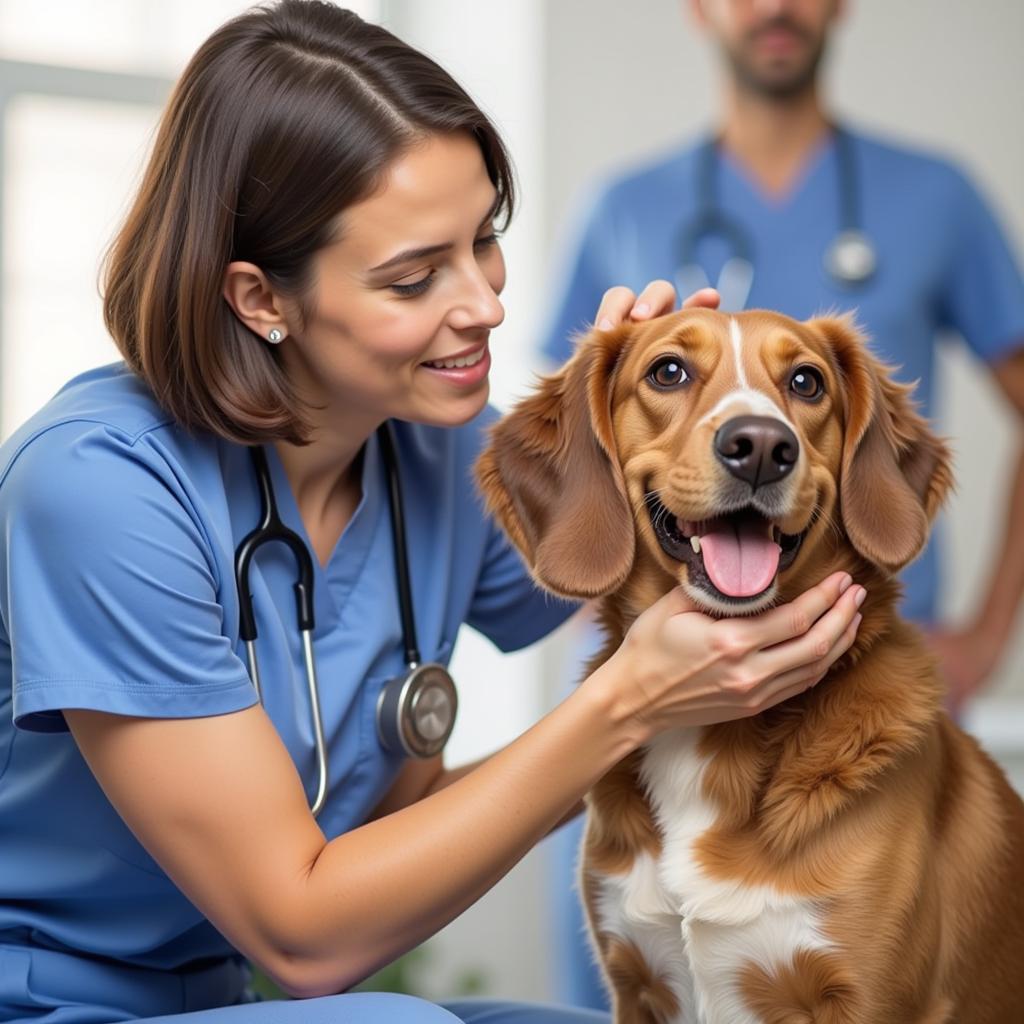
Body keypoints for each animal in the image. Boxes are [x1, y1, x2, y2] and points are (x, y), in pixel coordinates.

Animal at [475, 309, 1024, 1024]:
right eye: (668, 371)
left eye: (806, 382)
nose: (762, 446)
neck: (715, 738)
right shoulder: (635, 985)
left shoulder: (869, 999)